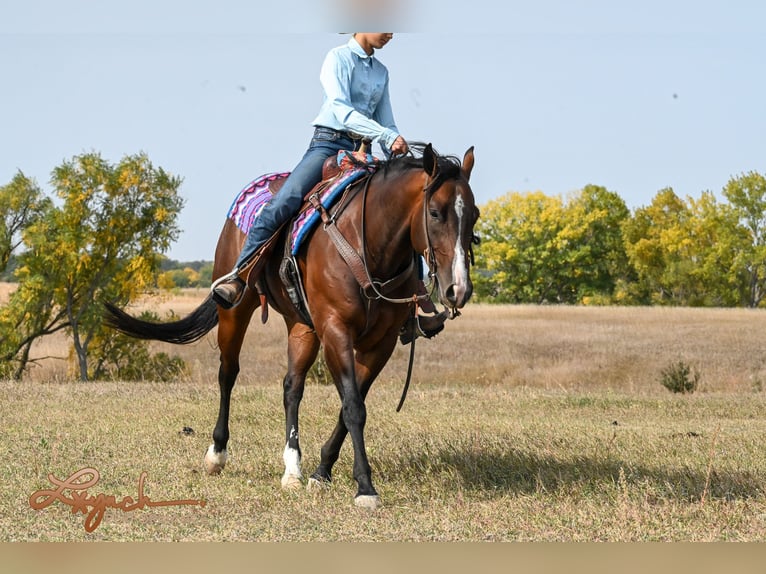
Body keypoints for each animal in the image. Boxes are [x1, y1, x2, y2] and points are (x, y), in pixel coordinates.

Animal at [105, 143, 480, 508]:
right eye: (435, 213)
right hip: (236, 311)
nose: (458, 290)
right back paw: (217, 454)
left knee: (291, 387)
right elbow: (353, 407)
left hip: (302, 326)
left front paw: (321, 472)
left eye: (474, 215)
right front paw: (365, 487)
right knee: (228, 373)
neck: (369, 246)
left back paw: (292, 470)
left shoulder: (380, 342)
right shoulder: (336, 330)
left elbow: (348, 405)